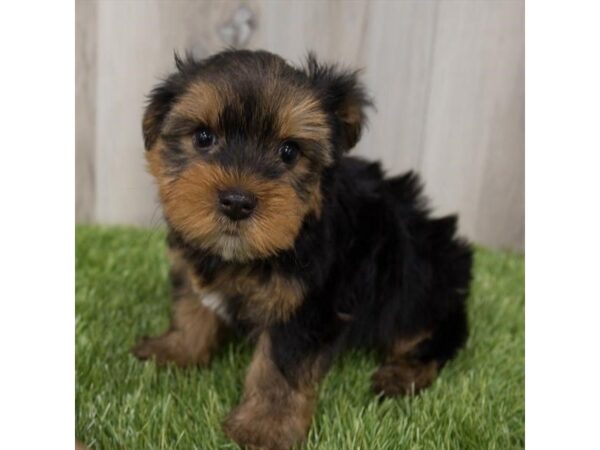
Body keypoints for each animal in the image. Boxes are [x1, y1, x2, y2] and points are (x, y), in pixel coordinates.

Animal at [132, 51, 474, 450]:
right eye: (203, 137)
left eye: (289, 151)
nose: (237, 202)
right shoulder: (192, 264)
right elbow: (191, 307)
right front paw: (177, 350)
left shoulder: (309, 305)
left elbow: (280, 364)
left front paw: (265, 426)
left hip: (419, 277)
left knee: (439, 332)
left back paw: (403, 372)